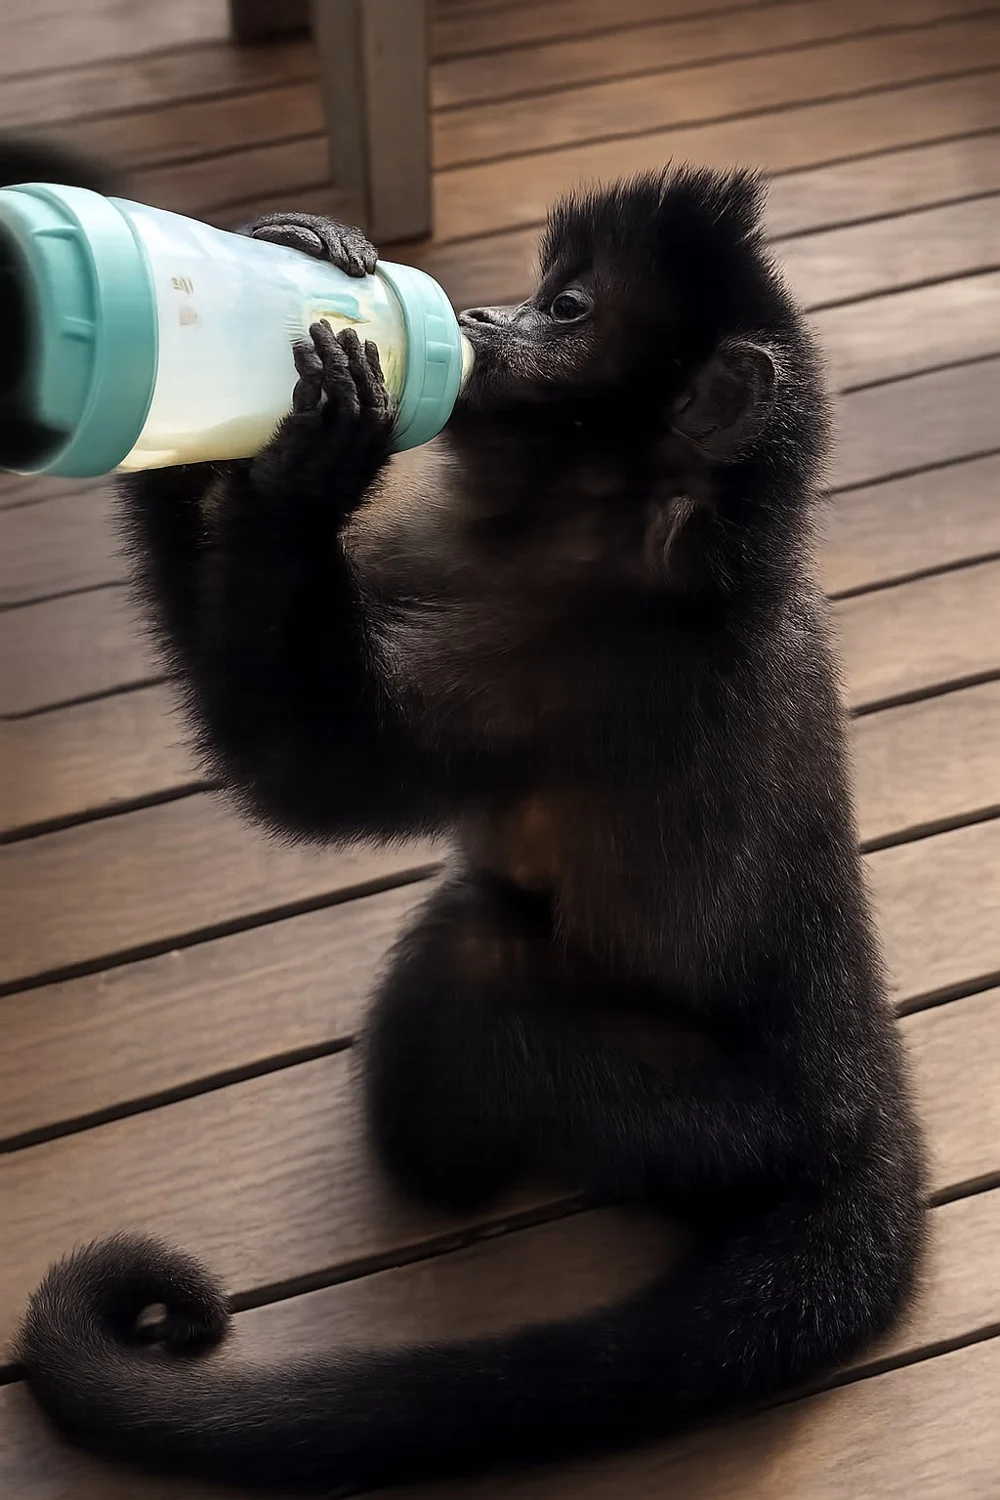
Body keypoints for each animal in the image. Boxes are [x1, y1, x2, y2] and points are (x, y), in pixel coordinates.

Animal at [15, 163, 926, 1494]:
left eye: (566, 309)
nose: (485, 317)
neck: (616, 527)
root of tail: (864, 1095)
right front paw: (266, 284)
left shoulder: (579, 661)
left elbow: (308, 775)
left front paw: (313, 464)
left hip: (717, 1123)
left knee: (467, 961)